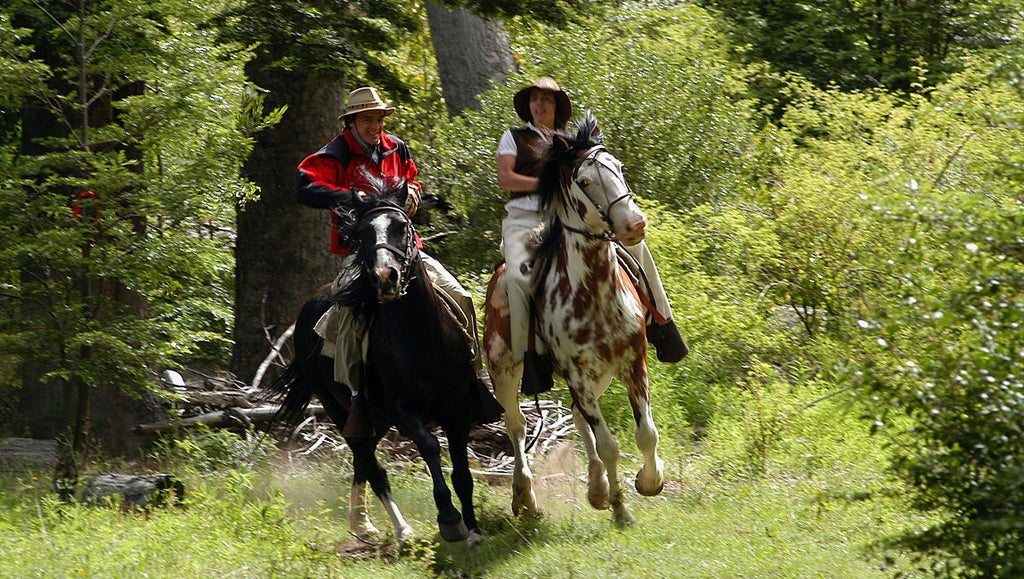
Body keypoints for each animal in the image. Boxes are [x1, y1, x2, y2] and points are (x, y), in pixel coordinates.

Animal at [266, 177, 501, 545]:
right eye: (362, 233)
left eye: (402, 227)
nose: (385, 277)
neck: (421, 338)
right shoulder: (403, 411)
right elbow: (430, 446)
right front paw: (449, 519)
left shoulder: (458, 409)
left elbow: (463, 472)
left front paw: (474, 530)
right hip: (343, 411)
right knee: (369, 463)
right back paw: (398, 528)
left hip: (374, 419)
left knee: (364, 460)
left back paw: (361, 521)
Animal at [485, 115, 667, 524]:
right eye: (584, 182)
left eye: (619, 168)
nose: (634, 225)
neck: (595, 292)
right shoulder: (578, 374)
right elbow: (609, 443)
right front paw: (621, 510)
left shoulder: (633, 363)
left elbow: (646, 433)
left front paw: (648, 482)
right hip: (504, 371)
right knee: (517, 427)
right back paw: (526, 497)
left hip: (597, 377)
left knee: (579, 417)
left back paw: (597, 488)